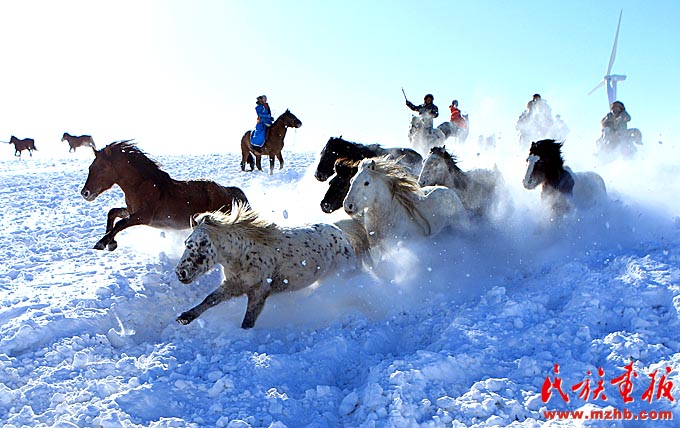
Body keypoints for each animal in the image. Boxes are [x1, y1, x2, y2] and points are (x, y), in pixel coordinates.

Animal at [80, 141, 250, 251]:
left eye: (101, 168)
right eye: (90, 167)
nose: (85, 193)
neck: (141, 186)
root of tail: (228, 191)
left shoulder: (143, 216)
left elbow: (121, 223)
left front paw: (102, 243)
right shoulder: (132, 210)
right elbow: (113, 213)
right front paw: (111, 242)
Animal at [173, 203, 370, 328]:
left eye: (203, 243)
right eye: (186, 243)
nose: (180, 273)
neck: (243, 255)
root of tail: (341, 232)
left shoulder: (259, 292)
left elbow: (248, 320)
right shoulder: (233, 285)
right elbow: (211, 299)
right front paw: (185, 317)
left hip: (345, 273)